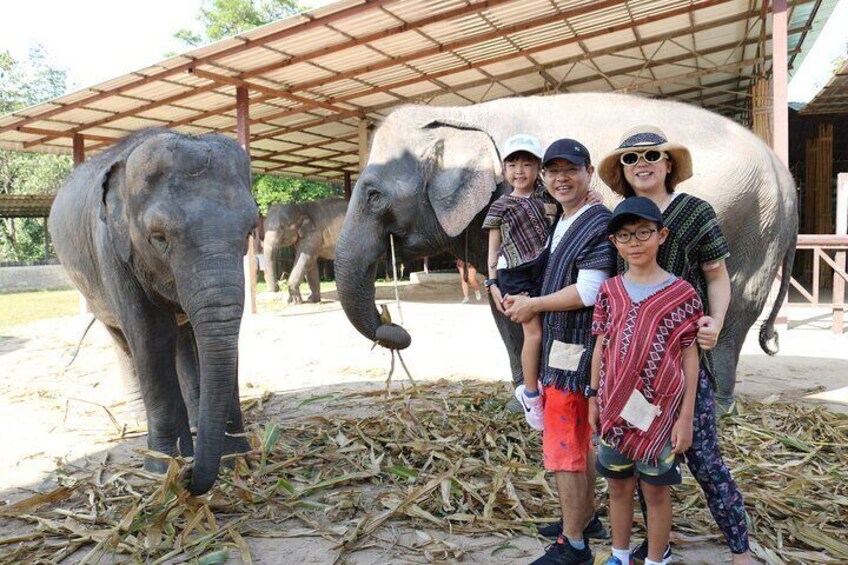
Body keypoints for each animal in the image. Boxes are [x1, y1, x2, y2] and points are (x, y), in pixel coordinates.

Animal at [46, 128, 256, 494]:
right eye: (158, 237)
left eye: (249, 231)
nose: (189, 479)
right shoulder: (113, 250)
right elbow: (152, 338)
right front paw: (162, 469)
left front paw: (235, 459)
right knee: (123, 339)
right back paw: (136, 419)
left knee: (184, 334)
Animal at [334, 92, 800, 410]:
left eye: (373, 195)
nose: (396, 329)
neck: (461, 113)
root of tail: (785, 175)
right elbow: (503, 307)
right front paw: (518, 401)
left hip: (754, 225)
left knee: (735, 303)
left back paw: (718, 407)